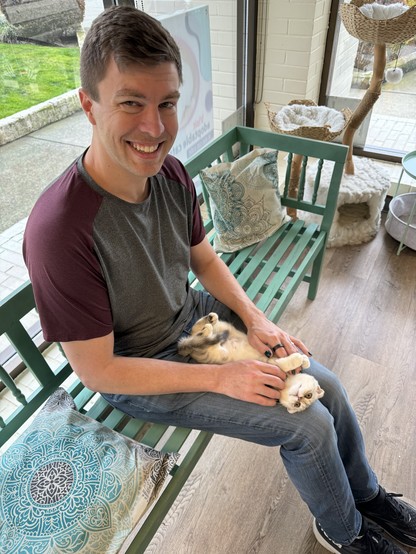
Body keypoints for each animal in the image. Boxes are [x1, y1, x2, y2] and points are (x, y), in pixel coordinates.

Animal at [177, 310, 324, 410]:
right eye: (309, 395)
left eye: (298, 405)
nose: (299, 398)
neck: (286, 382)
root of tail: (188, 349)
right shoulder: (270, 359)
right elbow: (286, 361)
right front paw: (302, 359)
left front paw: (302, 359)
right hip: (224, 333)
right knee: (197, 330)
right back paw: (210, 321)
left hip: (213, 350)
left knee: (197, 333)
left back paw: (208, 324)